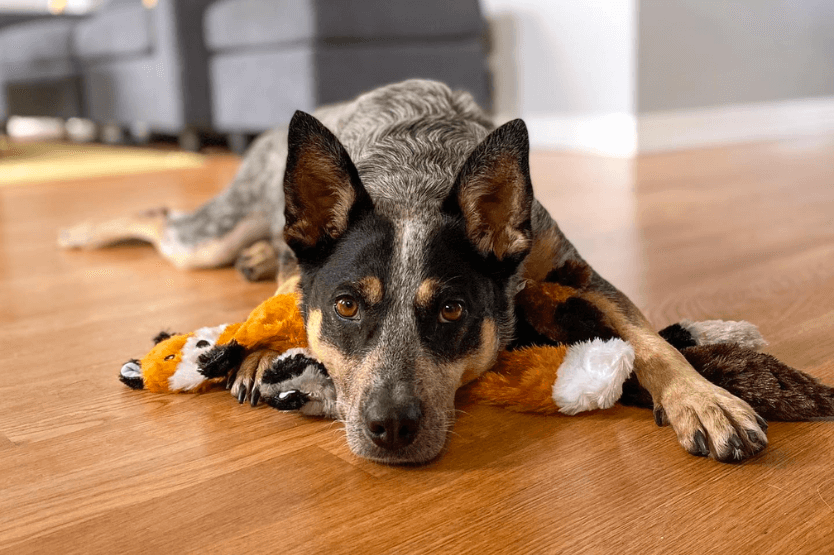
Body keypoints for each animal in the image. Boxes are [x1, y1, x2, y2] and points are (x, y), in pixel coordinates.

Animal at [63, 78, 768, 464]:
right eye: (347, 306)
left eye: (452, 309)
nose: (392, 427)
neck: (415, 178)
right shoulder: (309, 273)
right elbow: (286, 305)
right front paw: (265, 352)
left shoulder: (573, 272)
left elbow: (650, 342)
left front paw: (707, 400)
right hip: (210, 234)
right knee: (162, 217)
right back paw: (80, 231)